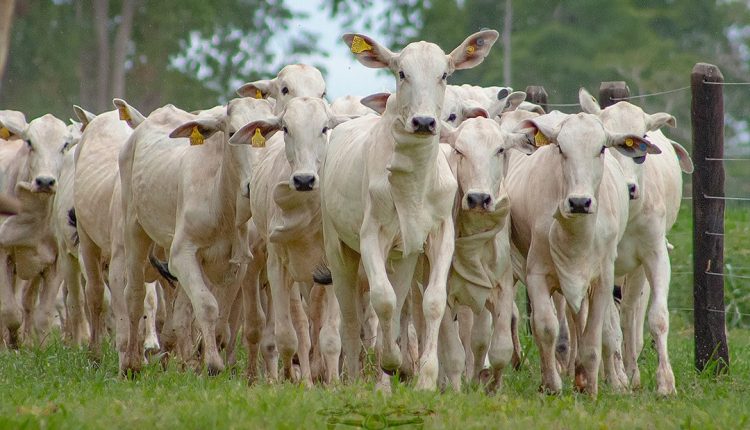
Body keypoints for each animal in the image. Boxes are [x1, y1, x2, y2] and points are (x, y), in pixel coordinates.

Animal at [322, 30, 502, 390]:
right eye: (402, 72)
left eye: (444, 75)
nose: (423, 122)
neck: (414, 185)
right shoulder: (371, 236)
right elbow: (382, 299)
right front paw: (392, 362)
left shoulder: (439, 234)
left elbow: (432, 302)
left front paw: (426, 379)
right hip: (337, 248)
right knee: (351, 318)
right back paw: (357, 379)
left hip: (403, 256)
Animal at [506, 108, 664, 396]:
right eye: (560, 147)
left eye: (601, 148)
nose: (579, 202)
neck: (574, 234)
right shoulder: (536, 274)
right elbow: (545, 327)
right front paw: (551, 384)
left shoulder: (602, 280)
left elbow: (593, 338)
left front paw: (590, 387)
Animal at [580, 89, 696, 394]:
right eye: (606, 144)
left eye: (641, 141)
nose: (629, 187)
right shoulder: (602, 266)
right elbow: (608, 328)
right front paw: (617, 379)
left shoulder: (655, 255)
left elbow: (657, 318)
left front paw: (665, 382)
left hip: (636, 271)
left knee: (630, 314)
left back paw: (632, 371)